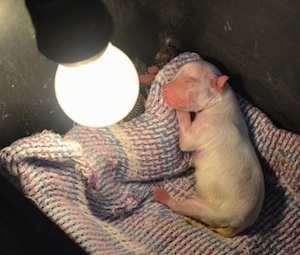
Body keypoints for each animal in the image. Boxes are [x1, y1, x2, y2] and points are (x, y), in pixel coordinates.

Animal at [155, 59, 264, 237]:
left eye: (191, 80)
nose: (165, 89)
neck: (222, 100)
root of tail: (238, 227)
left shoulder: (206, 128)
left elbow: (185, 141)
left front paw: (180, 111)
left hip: (211, 210)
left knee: (186, 207)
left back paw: (163, 196)